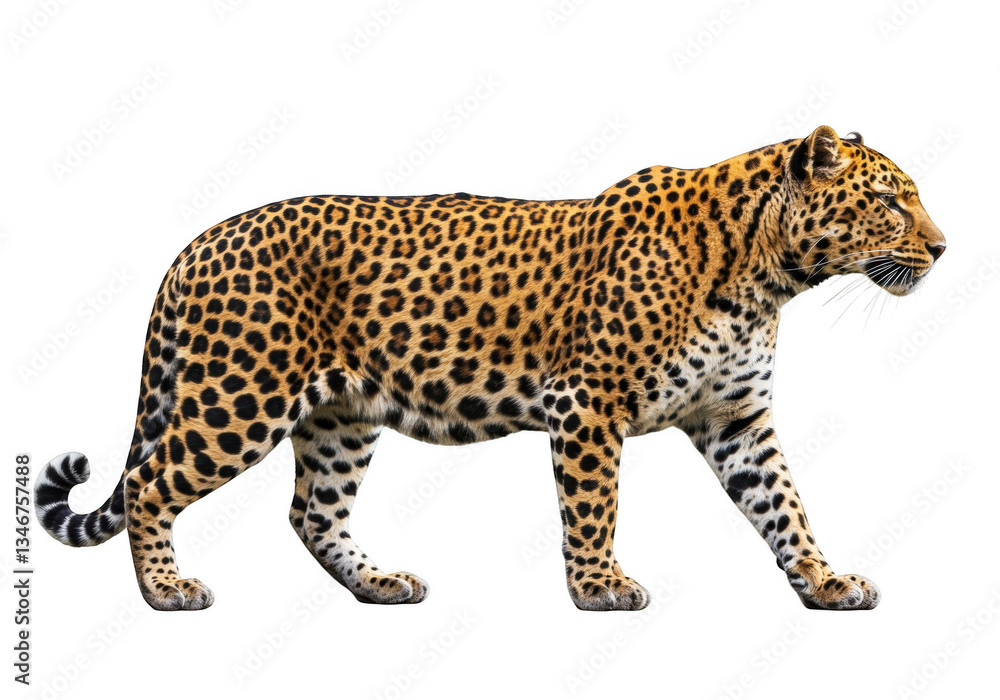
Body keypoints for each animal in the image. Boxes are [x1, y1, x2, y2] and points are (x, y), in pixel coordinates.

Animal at [35, 126, 946, 612]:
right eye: (890, 201)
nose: (941, 247)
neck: (767, 275)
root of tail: (195, 243)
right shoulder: (588, 402)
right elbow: (595, 507)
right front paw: (600, 588)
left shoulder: (735, 420)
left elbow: (786, 506)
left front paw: (826, 582)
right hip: (239, 397)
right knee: (150, 482)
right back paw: (167, 590)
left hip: (340, 418)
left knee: (312, 513)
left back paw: (379, 584)